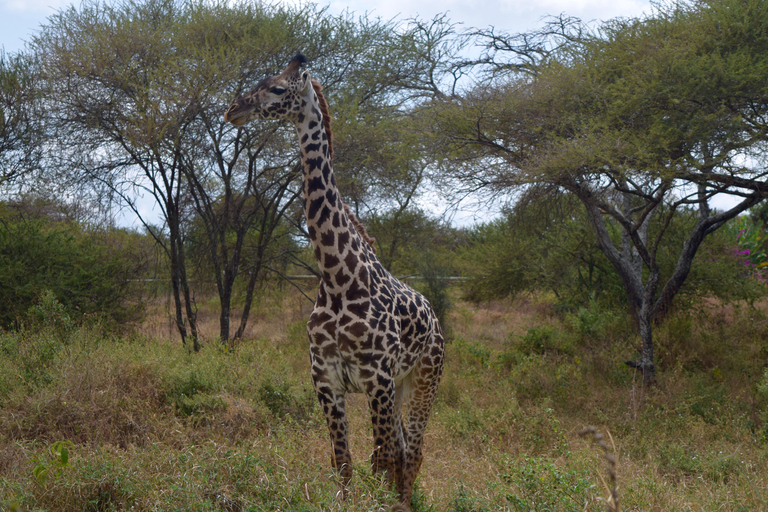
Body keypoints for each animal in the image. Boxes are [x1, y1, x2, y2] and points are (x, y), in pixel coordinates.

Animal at [224, 54, 444, 510]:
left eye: (276, 88)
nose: (232, 110)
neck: (338, 278)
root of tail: (436, 318)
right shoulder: (324, 377)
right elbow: (343, 462)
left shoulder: (376, 377)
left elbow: (381, 460)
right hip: (399, 386)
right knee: (402, 449)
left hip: (424, 378)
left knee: (412, 450)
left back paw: (403, 503)